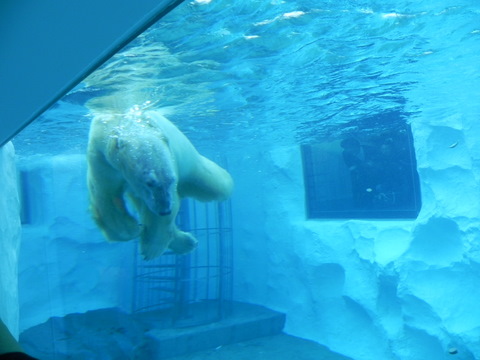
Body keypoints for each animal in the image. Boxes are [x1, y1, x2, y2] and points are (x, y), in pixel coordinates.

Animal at [88, 109, 236, 258]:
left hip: (192, 164)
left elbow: (165, 211)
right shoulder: (102, 159)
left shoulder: (172, 160)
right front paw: (132, 229)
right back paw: (187, 242)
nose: (165, 210)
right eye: (149, 182)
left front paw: (150, 248)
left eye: (171, 180)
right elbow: (106, 196)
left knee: (215, 185)